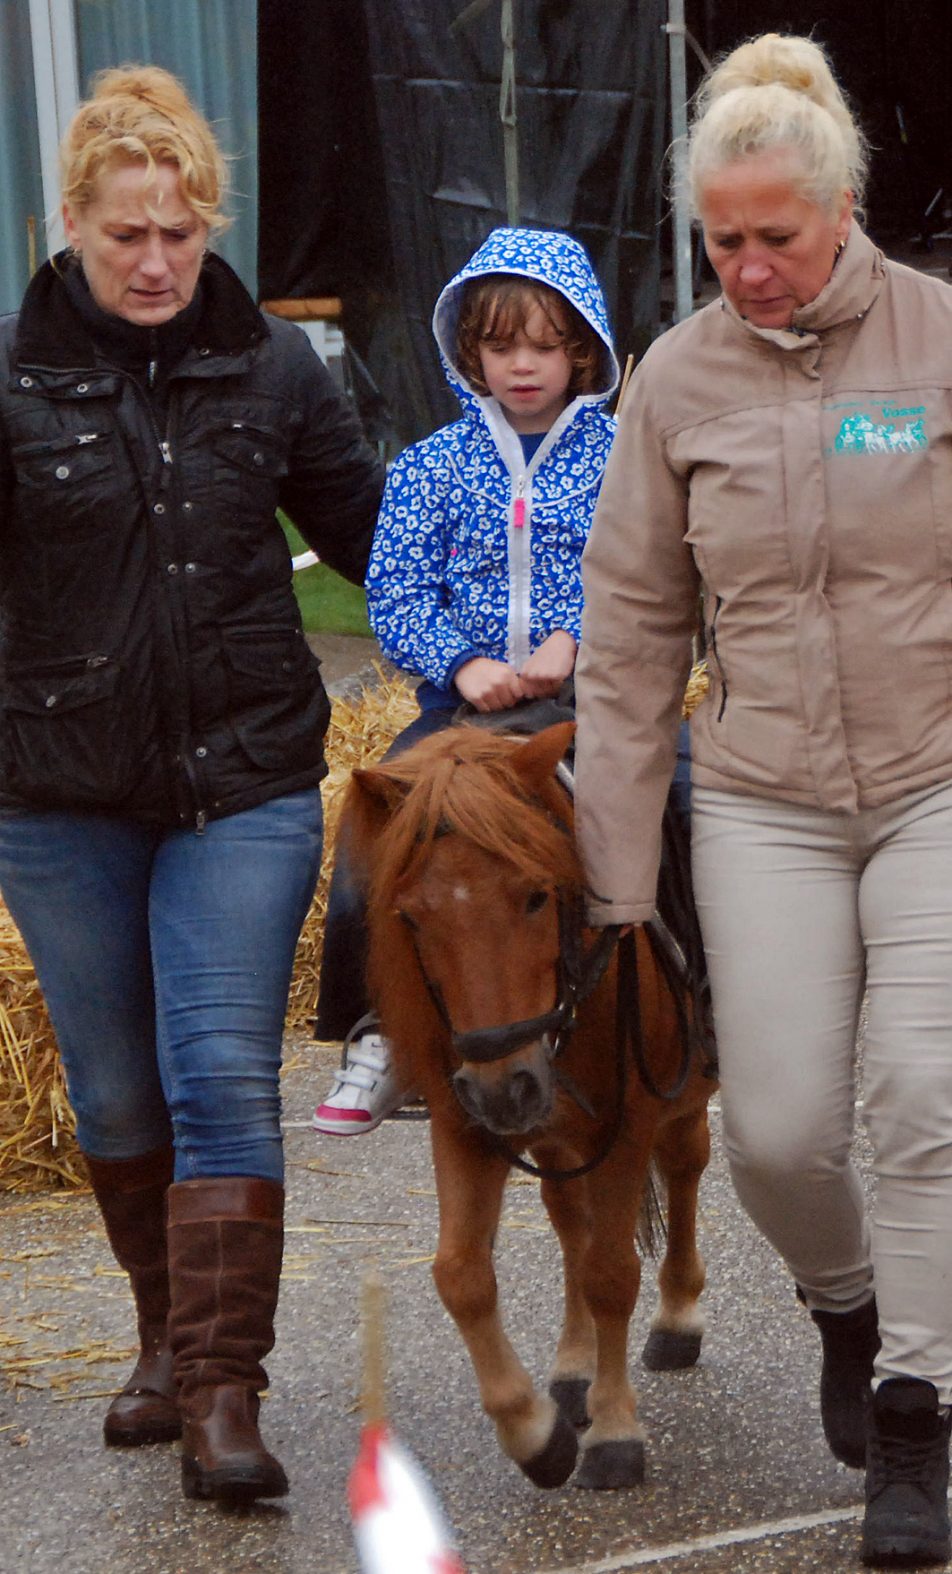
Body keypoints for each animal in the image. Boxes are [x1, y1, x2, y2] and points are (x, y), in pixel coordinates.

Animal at [343, 720, 711, 1485]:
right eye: (411, 917)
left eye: (537, 895)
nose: (503, 1084)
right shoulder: (465, 1124)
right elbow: (461, 1275)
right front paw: (535, 1434)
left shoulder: (628, 1126)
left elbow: (611, 1273)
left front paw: (614, 1431)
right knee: (570, 1219)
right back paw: (572, 1371)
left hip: (669, 1107)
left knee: (685, 1167)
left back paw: (677, 1316)